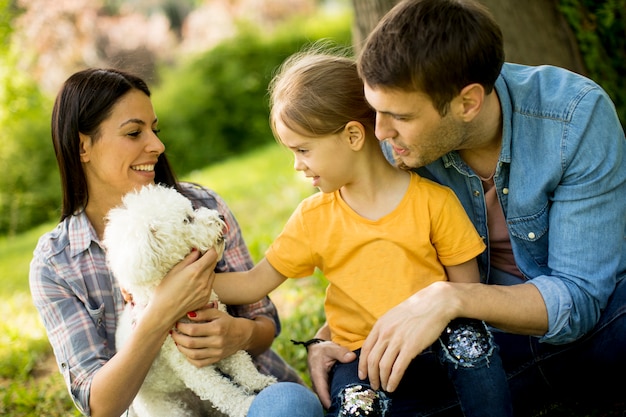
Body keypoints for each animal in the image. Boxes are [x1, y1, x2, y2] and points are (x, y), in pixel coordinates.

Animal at [103, 184, 274, 416]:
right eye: (187, 220)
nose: (220, 215)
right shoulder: (189, 363)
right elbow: (221, 390)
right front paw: (245, 405)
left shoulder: (223, 334)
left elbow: (241, 361)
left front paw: (259, 381)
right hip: (165, 408)